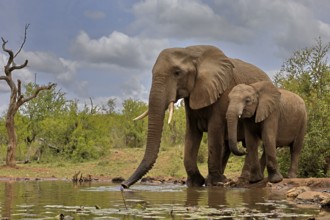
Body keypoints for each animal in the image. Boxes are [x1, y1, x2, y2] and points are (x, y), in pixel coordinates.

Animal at [121, 45, 270, 188]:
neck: (191, 53)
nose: (123, 185)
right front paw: (195, 182)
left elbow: (214, 131)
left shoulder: (223, 91)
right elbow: (191, 133)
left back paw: (244, 179)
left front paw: (213, 183)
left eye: (177, 73)